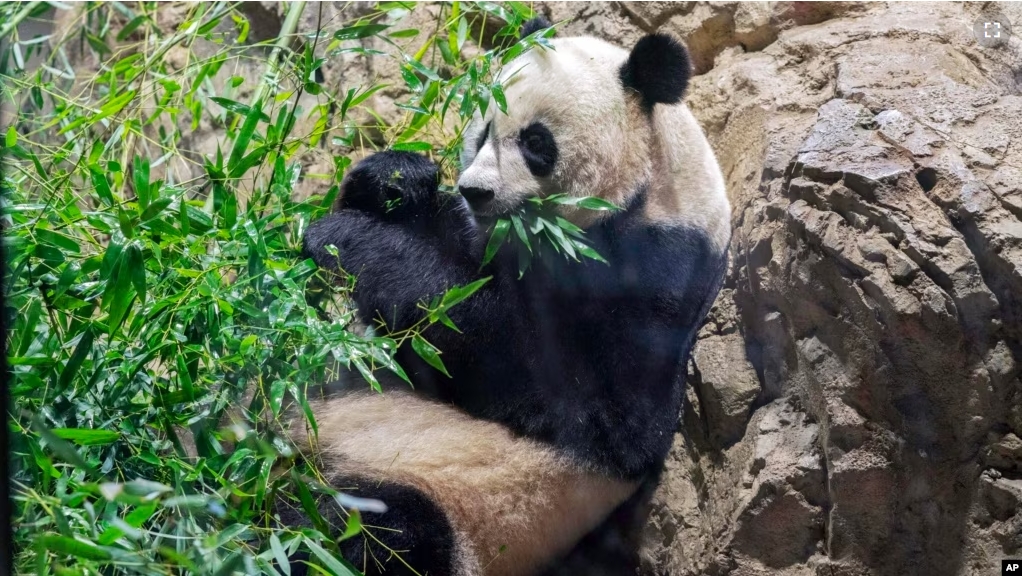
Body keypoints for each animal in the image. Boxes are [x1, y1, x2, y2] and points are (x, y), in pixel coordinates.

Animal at [284, 18, 731, 576]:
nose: (474, 190)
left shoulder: (652, 280)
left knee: (379, 532)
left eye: (536, 140)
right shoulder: (480, 238)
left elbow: (571, 399)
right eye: (482, 132)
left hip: (450, 508)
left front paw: (350, 240)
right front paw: (396, 178)